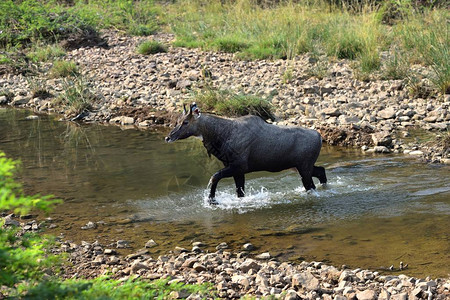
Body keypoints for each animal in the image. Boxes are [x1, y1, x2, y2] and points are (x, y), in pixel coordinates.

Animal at [165, 103, 326, 204]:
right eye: (177, 120)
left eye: (185, 122)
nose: (168, 137)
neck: (221, 135)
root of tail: (319, 137)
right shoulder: (237, 170)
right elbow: (240, 192)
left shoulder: (239, 166)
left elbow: (214, 176)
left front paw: (211, 200)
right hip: (300, 167)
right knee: (321, 171)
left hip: (304, 167)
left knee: (311, 185)